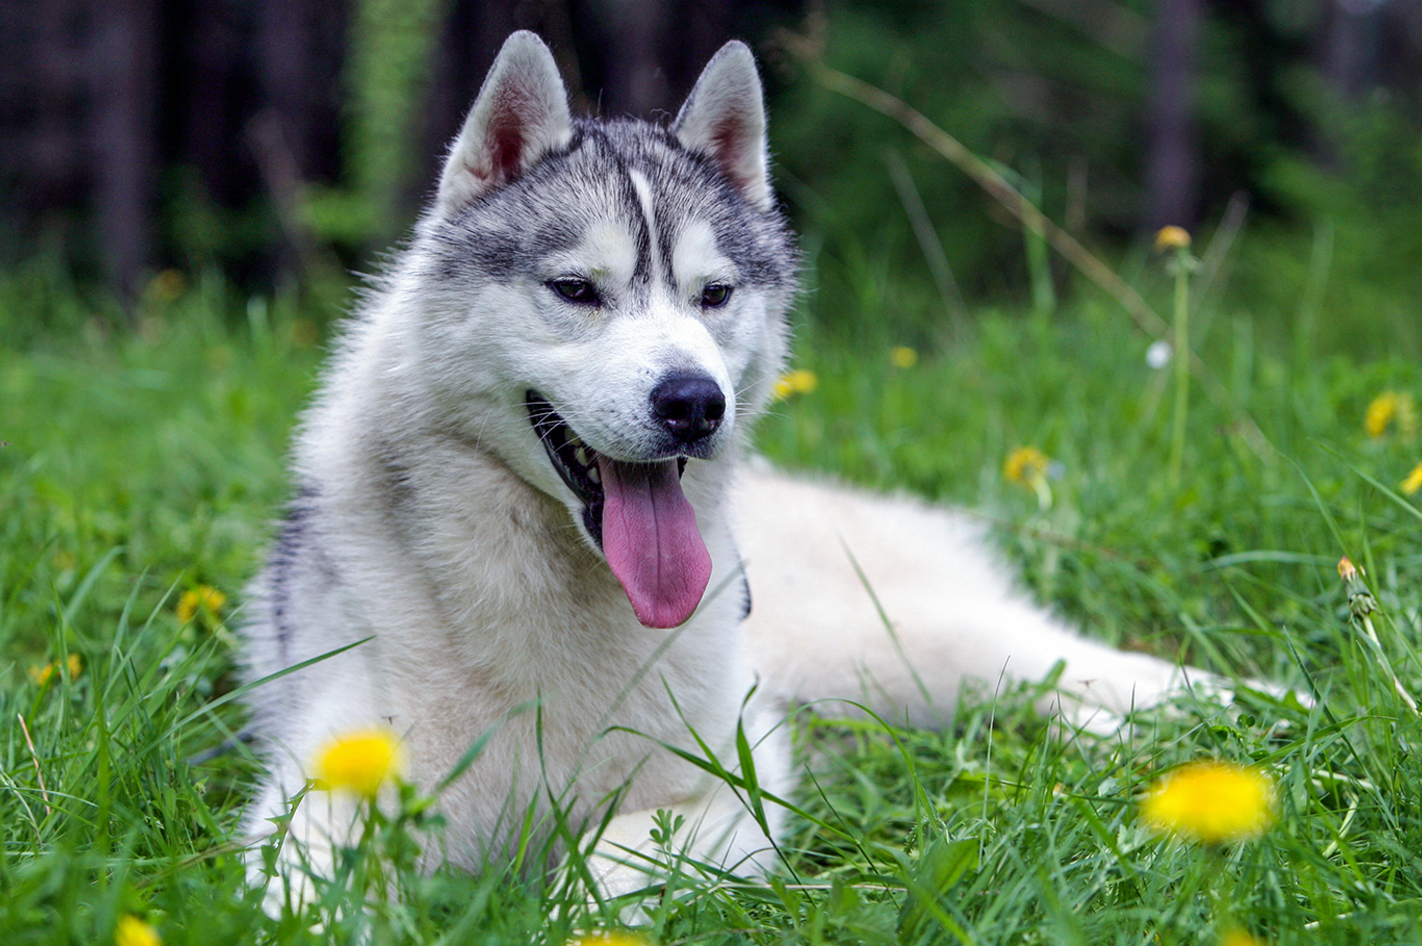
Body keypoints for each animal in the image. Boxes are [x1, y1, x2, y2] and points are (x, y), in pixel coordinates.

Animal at [238, 33, 1228, 910]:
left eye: (713, 295)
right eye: (576, 291)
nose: (693, 402)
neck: (564, 603)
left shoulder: (731, 785)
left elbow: (609, 870)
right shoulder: (326, 797)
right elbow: (301, 896)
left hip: (914, 646)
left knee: (1085, 664)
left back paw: (1237, 713)